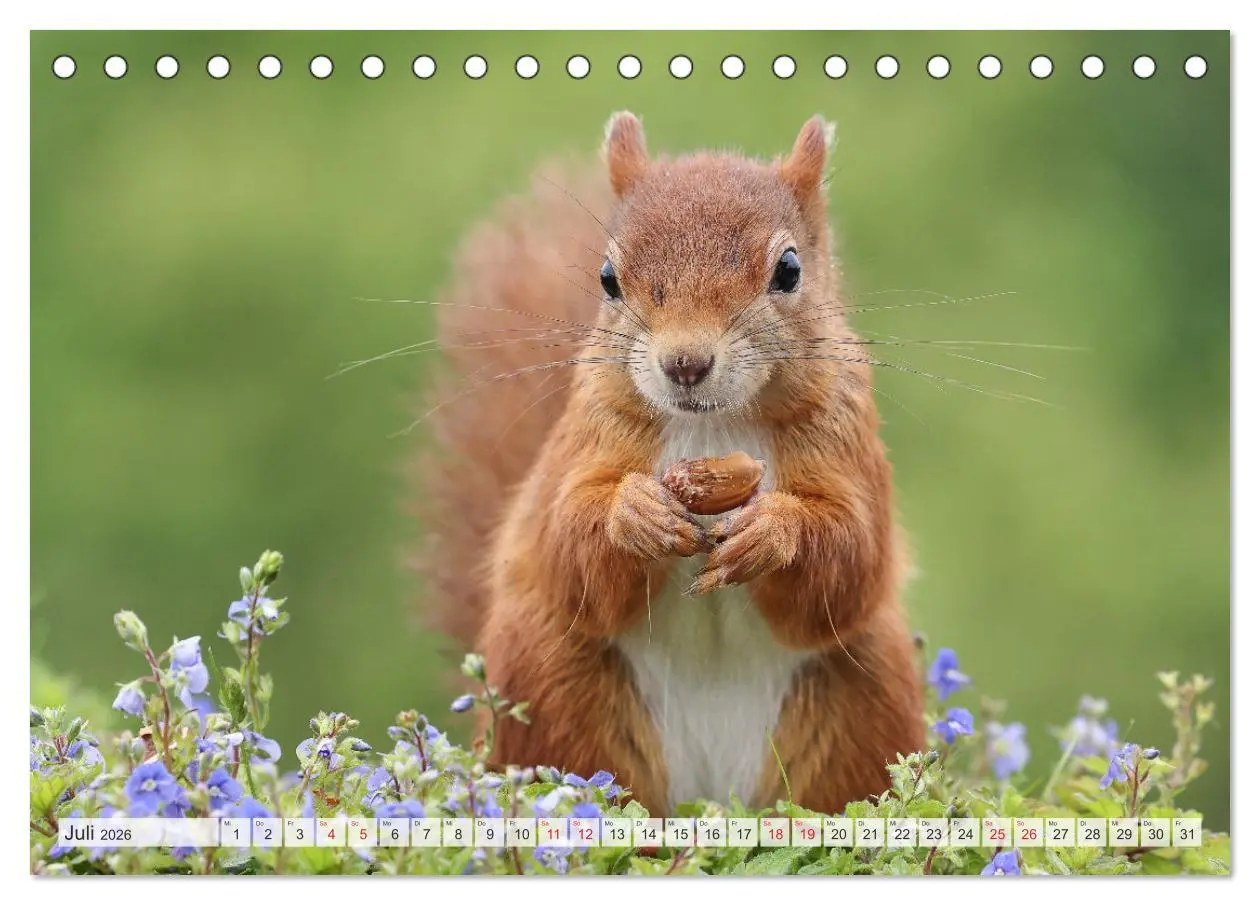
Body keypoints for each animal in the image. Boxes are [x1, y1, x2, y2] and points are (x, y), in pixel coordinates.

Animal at [417, 113, 924, 816]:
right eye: (608, 276)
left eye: (789, 269)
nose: (685, 363)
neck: (712, 424)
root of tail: (712, 799)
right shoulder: (586, 436)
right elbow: (565, 535)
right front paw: (634, 516)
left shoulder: (847, 435)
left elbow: (855, 553)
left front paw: (772, 531)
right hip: (553, 687)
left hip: (865, 696)